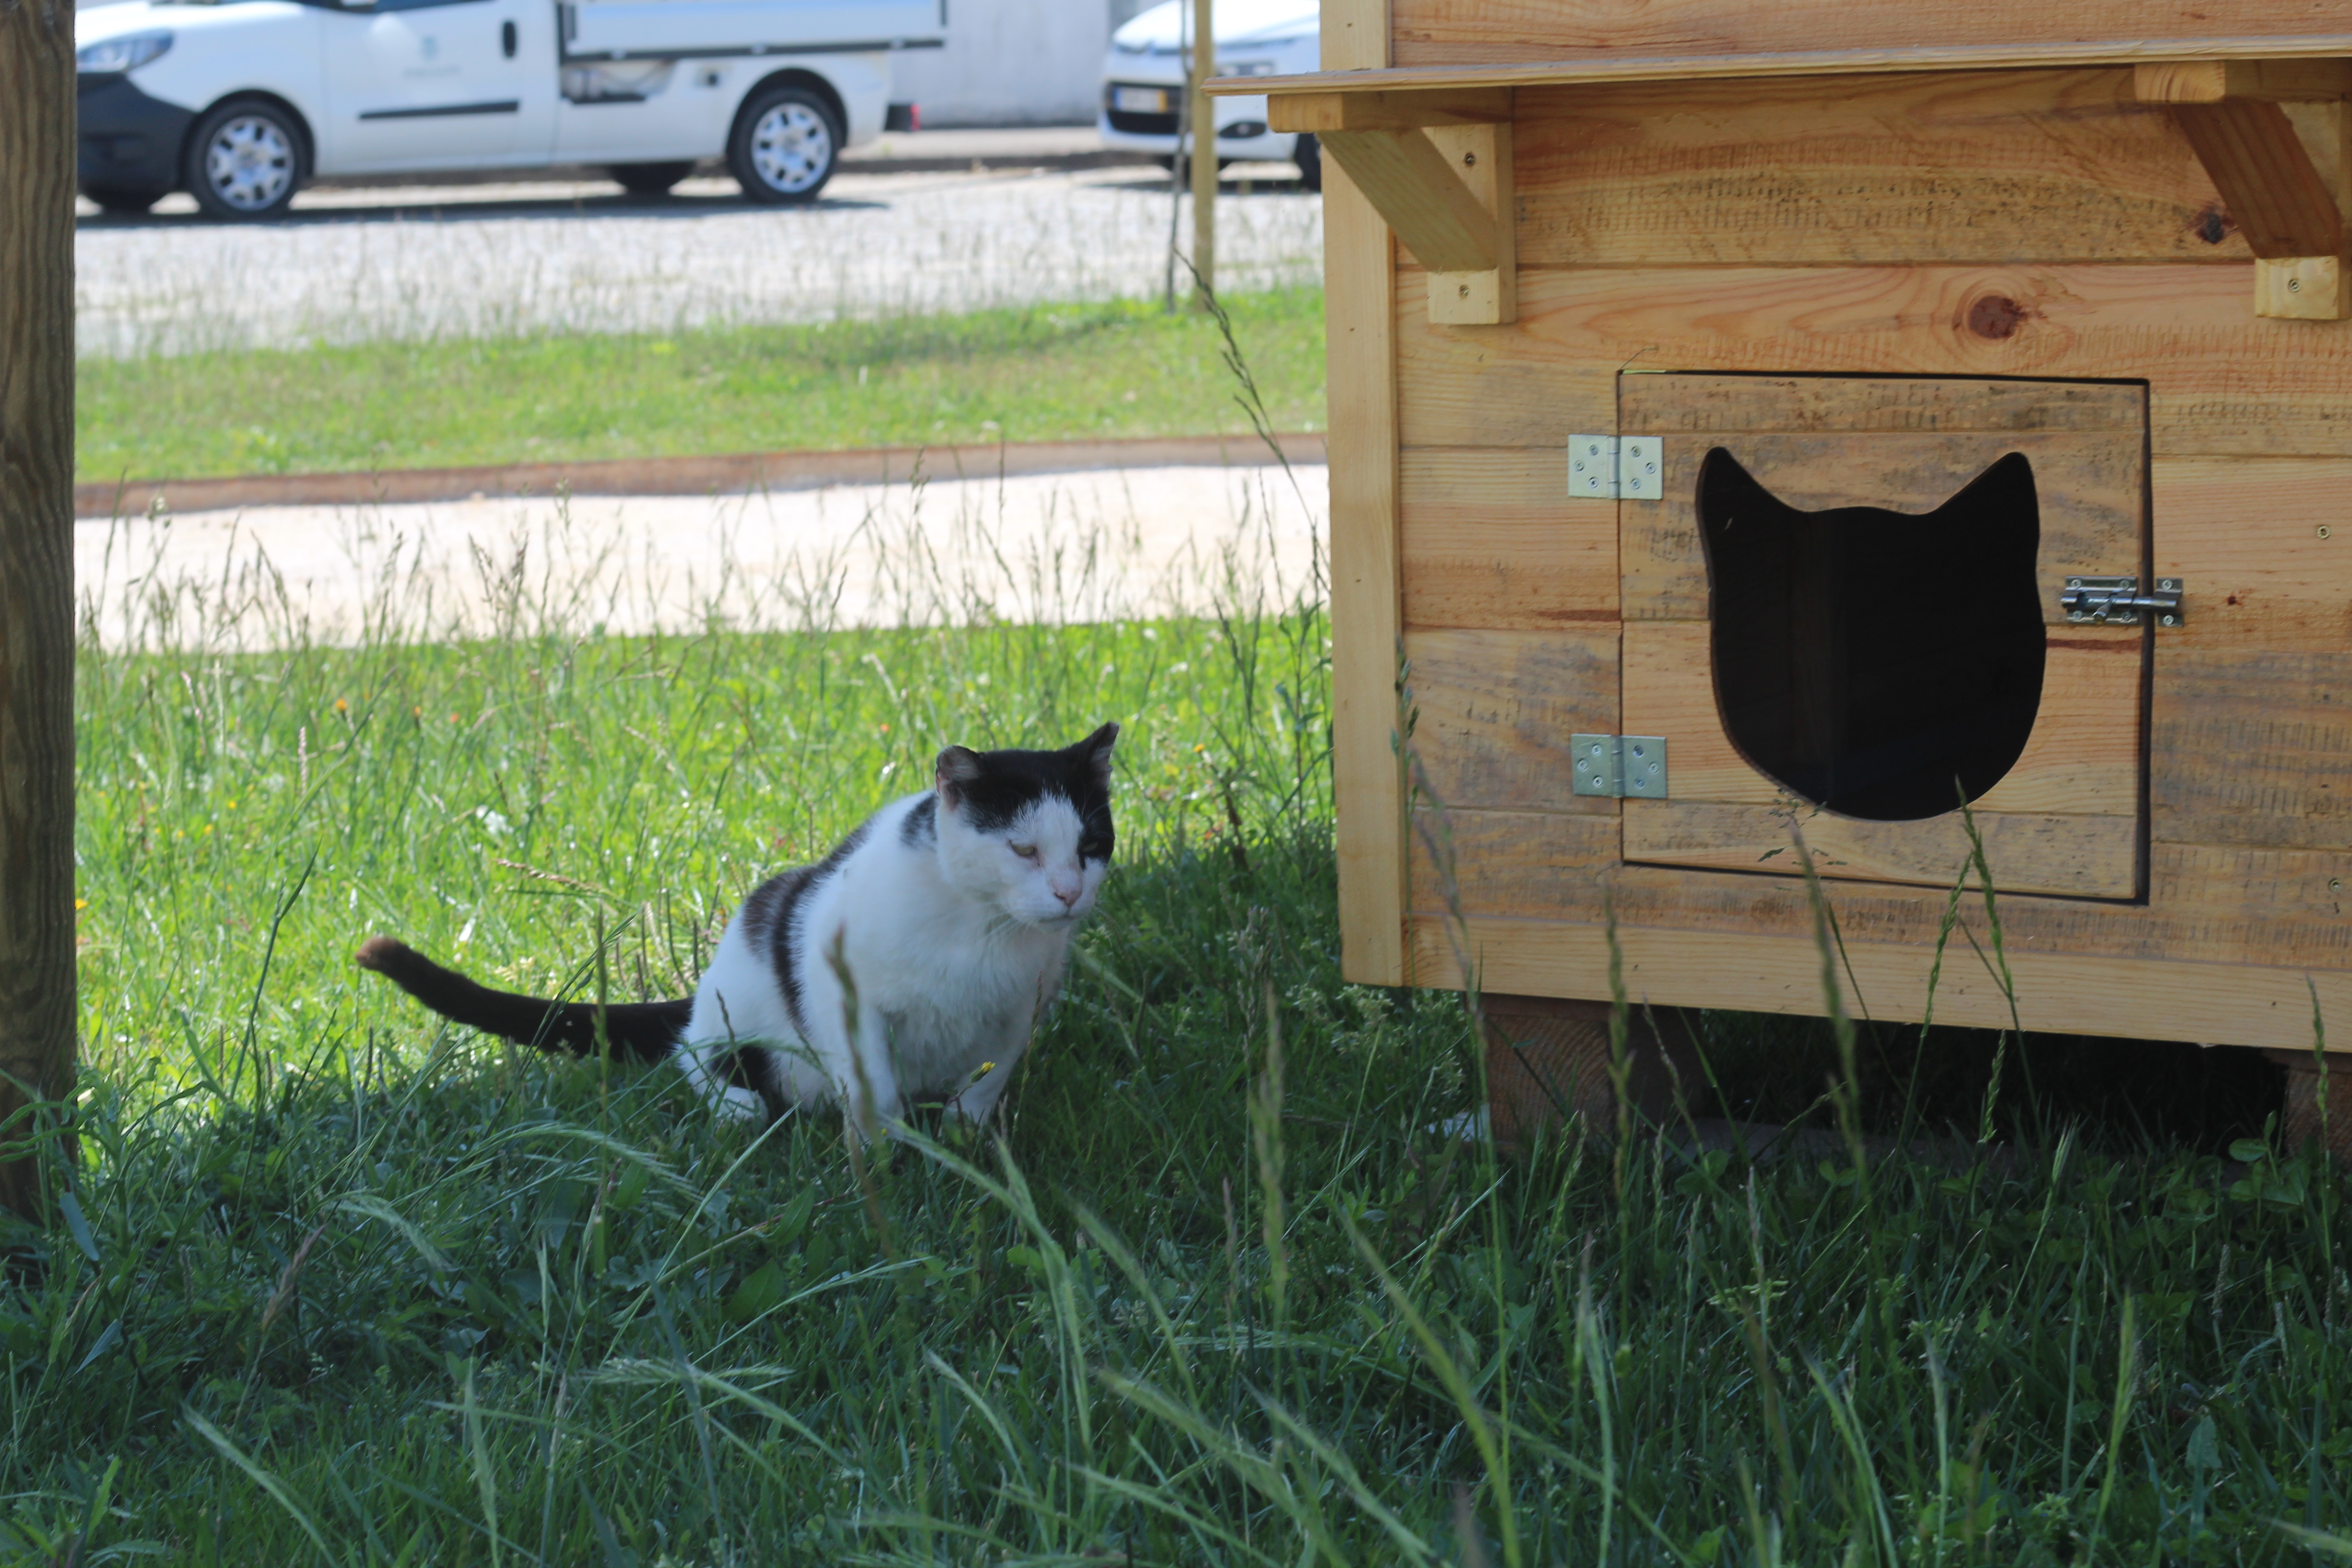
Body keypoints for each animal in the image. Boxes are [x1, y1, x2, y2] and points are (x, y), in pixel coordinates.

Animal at [357, 724, 1119, 1128]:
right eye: (1023, 850)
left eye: (1090, 844)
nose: (1068, 893)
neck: (982, 930)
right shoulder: (842, 992)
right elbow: (872, 1086)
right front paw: (886, 1156)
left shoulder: (1022, 1010)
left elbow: (991, 1078)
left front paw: (967, 1136)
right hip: (740, 1015)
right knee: (691, 1056)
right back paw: (740, 1108)